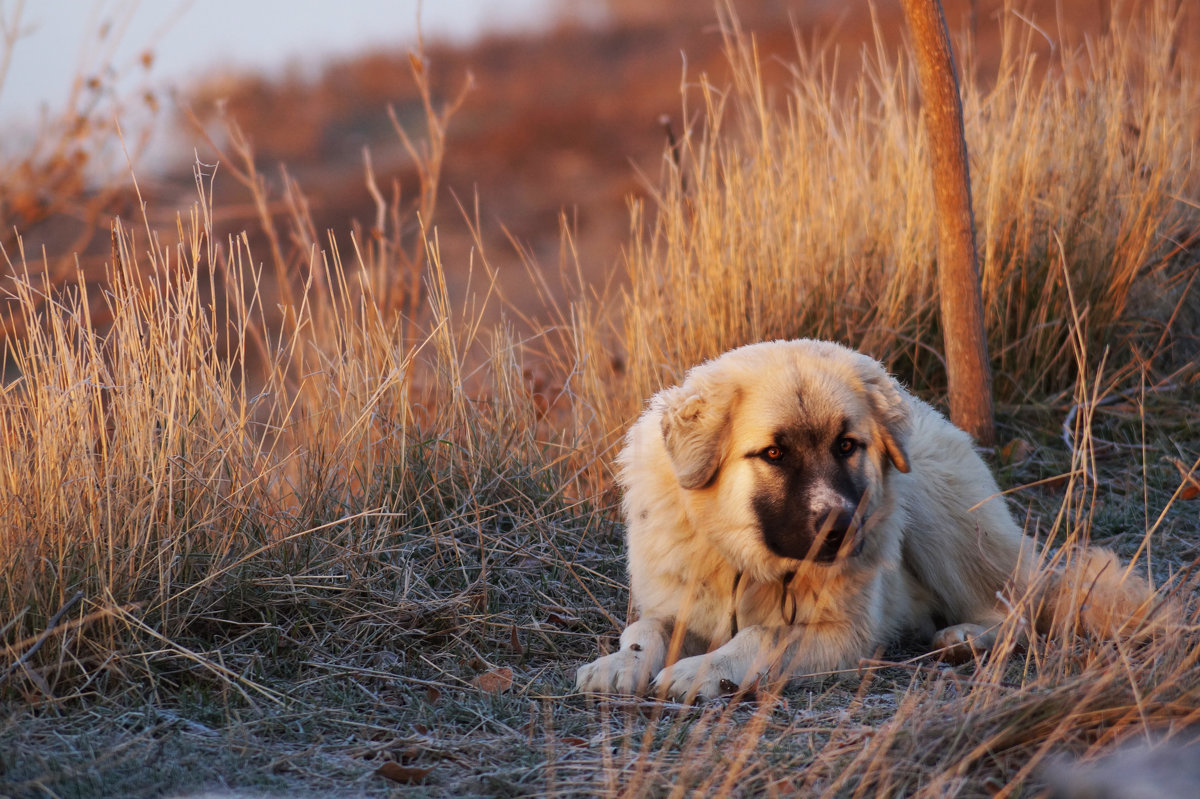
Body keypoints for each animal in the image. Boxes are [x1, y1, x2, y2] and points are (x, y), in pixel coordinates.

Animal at [576, 335, 1156, 695]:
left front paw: (701, 670)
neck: (747, 559)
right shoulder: (681, 604)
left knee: (1017, 611)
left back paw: (965, 639)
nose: (838, 527)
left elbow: (763, 636)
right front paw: (620, 664)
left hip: (940, 516)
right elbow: (646, 629)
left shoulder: (846, 634)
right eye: (773, 454)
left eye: (847, 446)